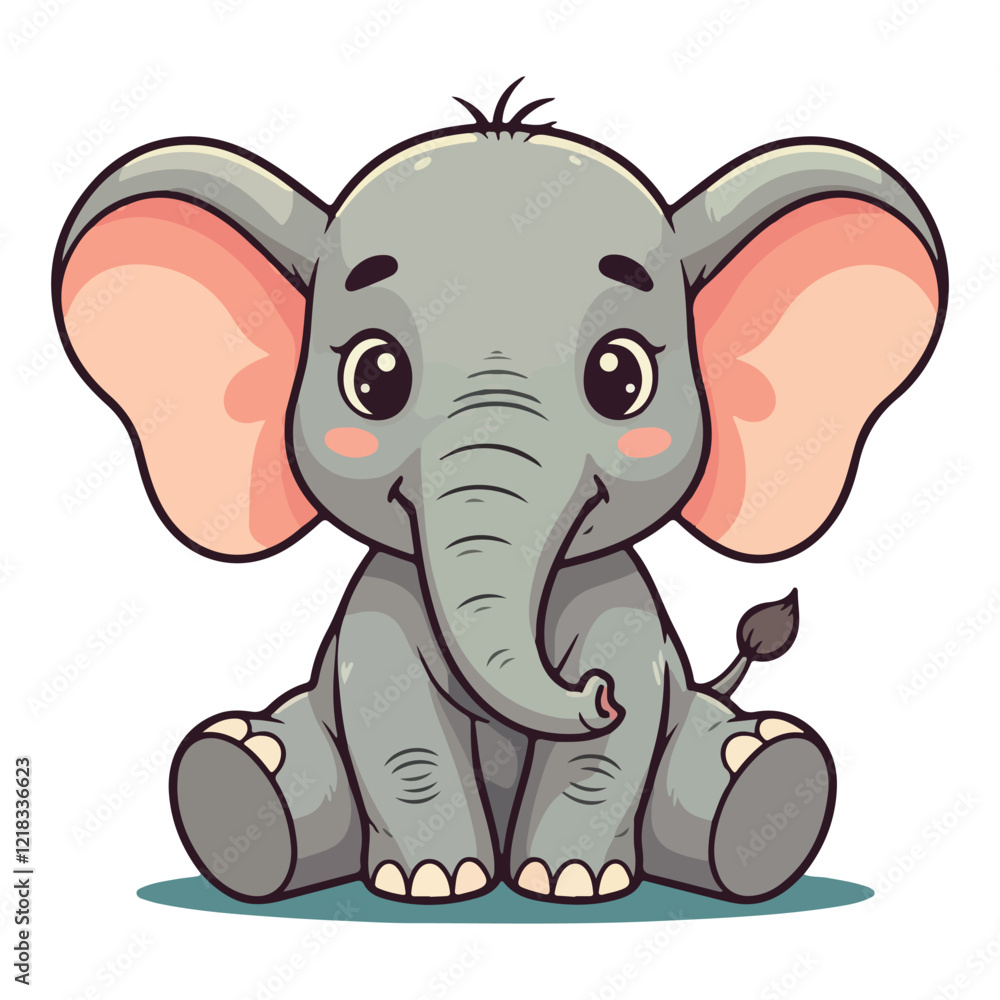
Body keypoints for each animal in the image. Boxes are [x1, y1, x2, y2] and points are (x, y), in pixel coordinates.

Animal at [53, 80, 946, 905]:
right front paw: (436, 886)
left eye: (621, 377)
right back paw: (242, 773)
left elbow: (613, 736)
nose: (596, 693)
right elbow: (396, 720)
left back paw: (763, 776)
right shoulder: (382, 606)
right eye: (374, 376)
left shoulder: (621, 603)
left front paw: (571, 883)